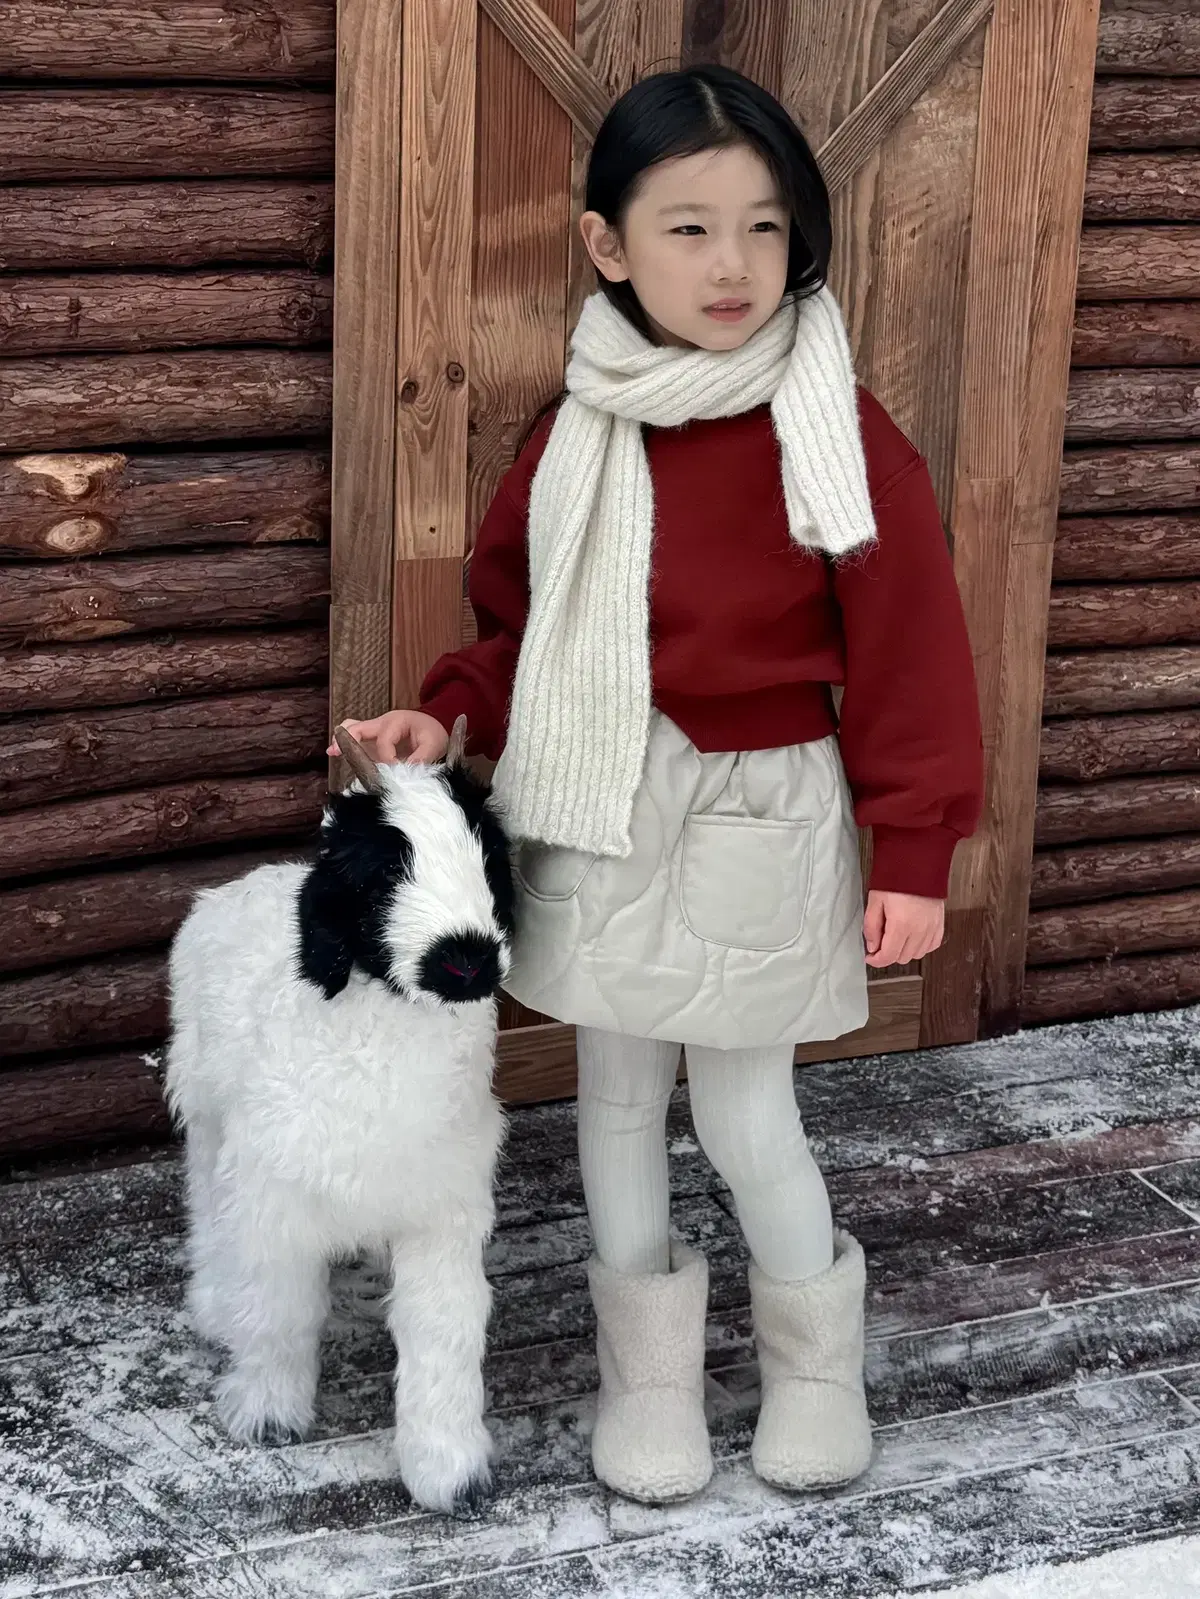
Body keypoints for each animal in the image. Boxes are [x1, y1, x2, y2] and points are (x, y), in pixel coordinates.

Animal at [163, 722, 512, 1509]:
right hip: (205, 1111)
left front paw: (446, 1468)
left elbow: (443, 1329)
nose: (466, 959)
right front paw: (267, 1413)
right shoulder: (275, 1201)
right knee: (206, 1200)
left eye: (487, 855)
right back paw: (214, 1303)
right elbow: (279, 1310)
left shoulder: (441, 1211)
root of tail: (243, 884)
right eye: (384, 873)